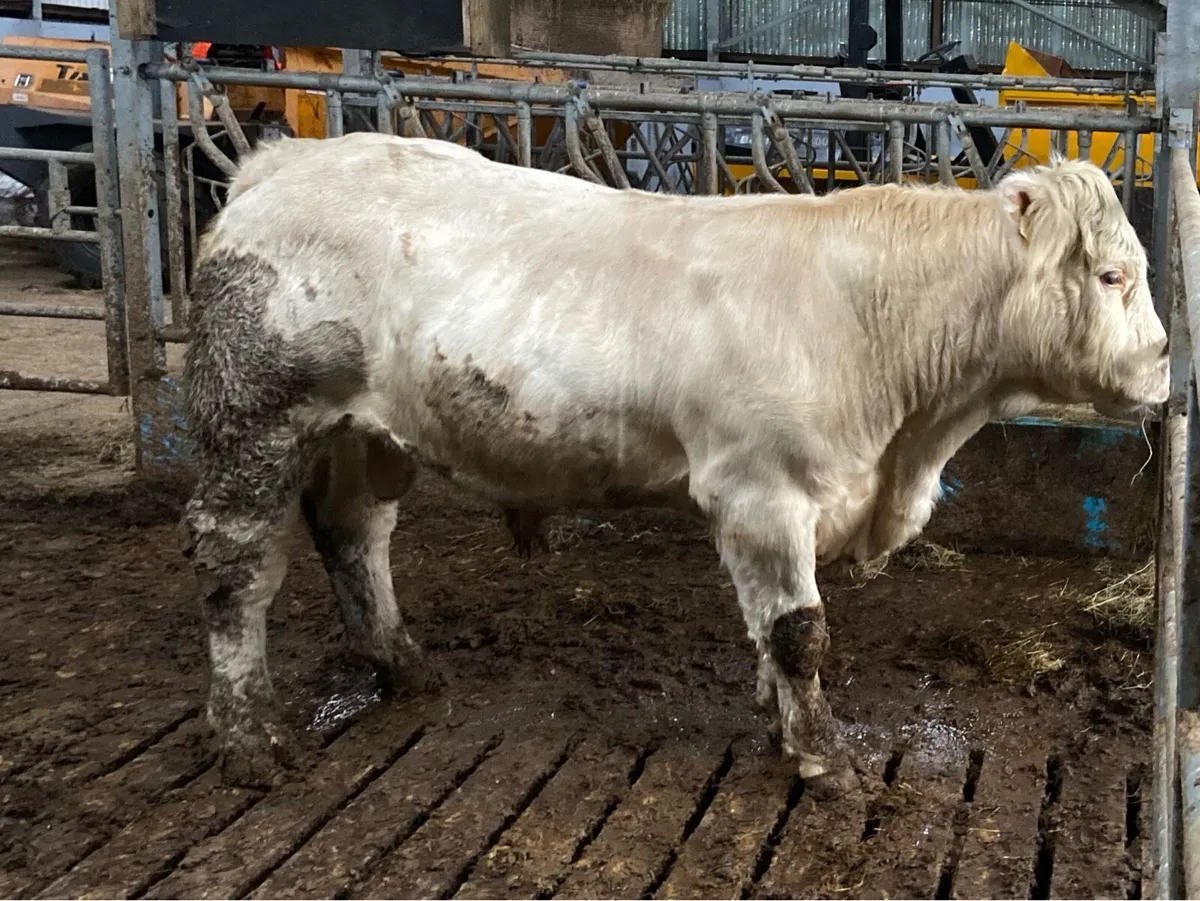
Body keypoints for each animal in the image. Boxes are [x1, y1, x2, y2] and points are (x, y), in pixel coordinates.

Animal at [182, 131, 1168, 795]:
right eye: (1113, 276)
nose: (1164, 361)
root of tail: (282, 163)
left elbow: (772, 631)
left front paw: (782, 726)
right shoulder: (760, 492)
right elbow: (799, 631)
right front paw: (823, 753)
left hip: (364, 435)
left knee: (356, 536)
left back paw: (403, 663)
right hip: (257, 423)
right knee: (236, 574)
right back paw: (247, 739)